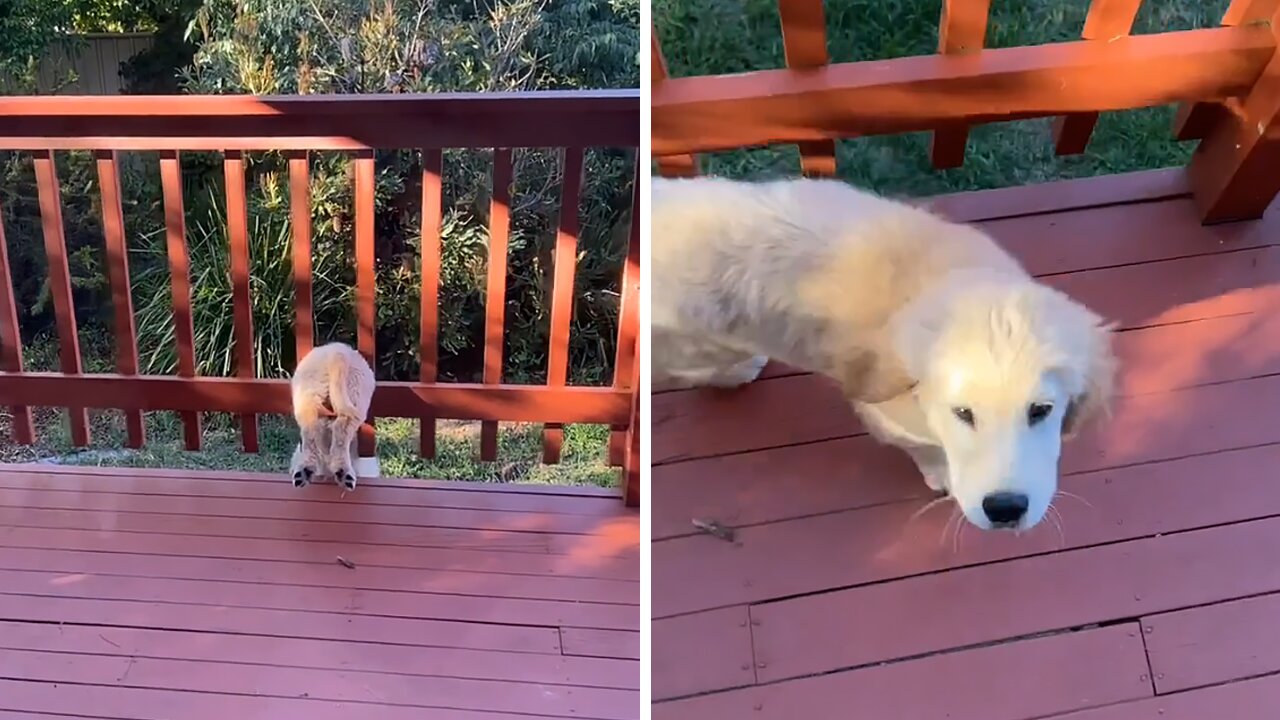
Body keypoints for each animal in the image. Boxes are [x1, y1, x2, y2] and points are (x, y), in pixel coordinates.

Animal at [288, 340, 373, 486]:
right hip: (356, 397)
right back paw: (342, 472)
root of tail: (337, 353)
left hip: (308, 396)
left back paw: (306, 470)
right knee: (341, 431)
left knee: (312, 430)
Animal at [655, 176, 1116, 530]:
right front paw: (941, 472)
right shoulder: (882, 408)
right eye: (962, 413)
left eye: (1040, 411)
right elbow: (921, 443)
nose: (1004, 510)